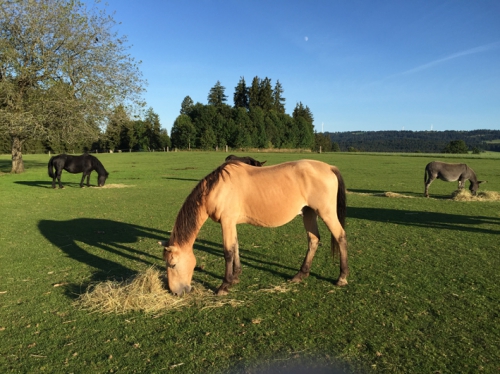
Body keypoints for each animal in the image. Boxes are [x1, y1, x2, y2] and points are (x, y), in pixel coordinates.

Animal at [160, 159, 348, 296]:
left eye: (173, 265)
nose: (175, 292)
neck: (216, 188)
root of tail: (329, 167)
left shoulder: (227, 221)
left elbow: (228, 252)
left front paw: (224, 285)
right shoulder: (231, 223)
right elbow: (235, 247)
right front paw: (235, 277)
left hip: (326, 213)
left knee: (340, 237)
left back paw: (342, 277)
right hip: (309, 213)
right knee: (313, 240)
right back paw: (301, 274)